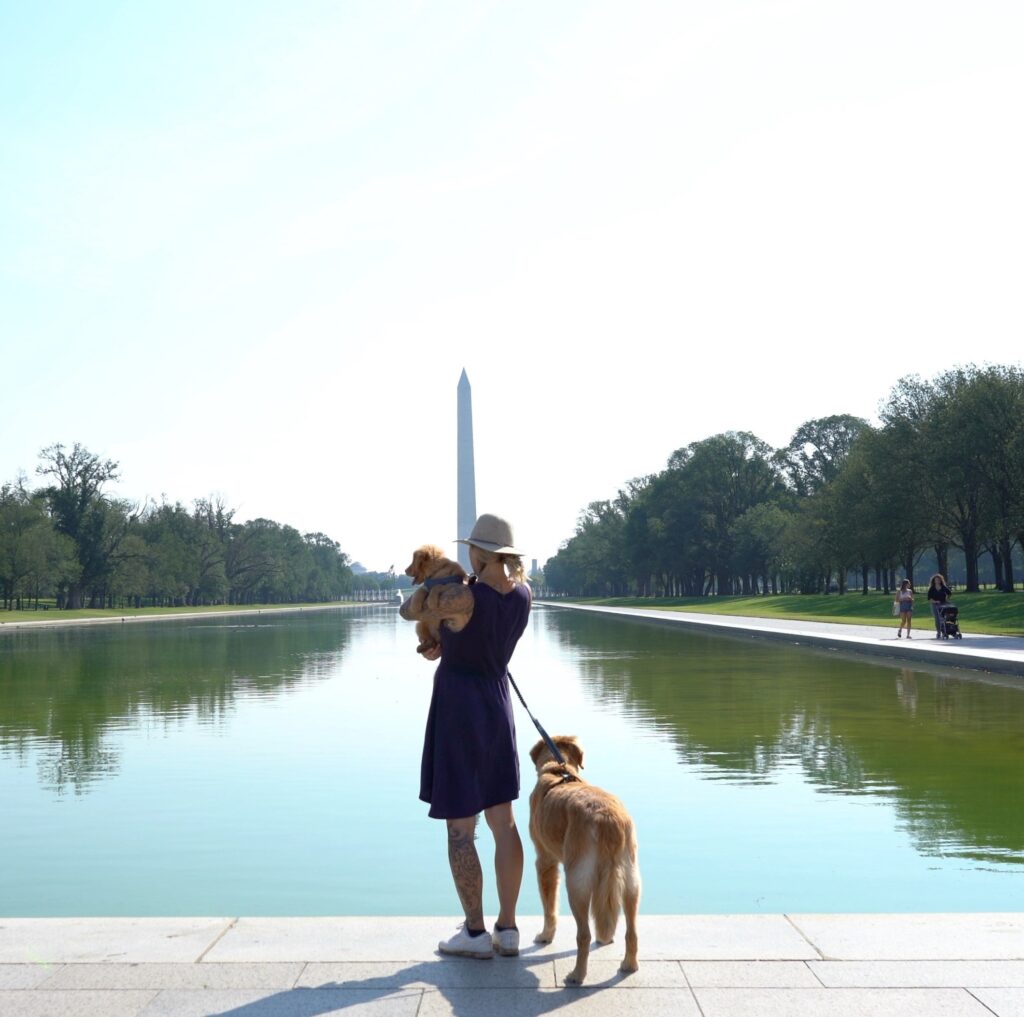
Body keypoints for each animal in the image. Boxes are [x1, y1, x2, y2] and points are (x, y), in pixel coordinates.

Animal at [528, 729, 638, 983]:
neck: (558, 771)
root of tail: (609, 819)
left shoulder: (545, 861)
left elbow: (549, 906)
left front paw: (545, 935)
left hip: (577, 881)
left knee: (583, 934)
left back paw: (577, 975)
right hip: (630, 879)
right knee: (631, 930)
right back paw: (629, 964)